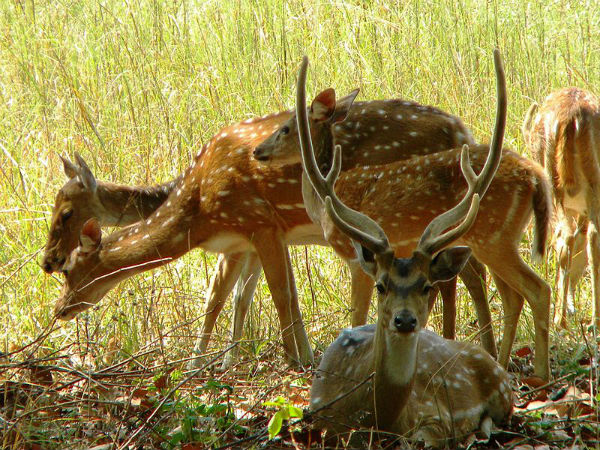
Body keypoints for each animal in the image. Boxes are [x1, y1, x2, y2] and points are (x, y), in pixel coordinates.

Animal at [255, 51, 552, 380]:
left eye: (285, 128)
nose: (258, 150)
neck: (323, 203)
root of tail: (536, 178)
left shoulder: (357, 258)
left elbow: (358, 317)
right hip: (497, 238)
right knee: (509, 293)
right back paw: (500, 361)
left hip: (493, 236)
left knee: (536, 289)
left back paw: (539, 373)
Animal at [290, 54, 510, 444]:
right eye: (382, 285)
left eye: (425, 285)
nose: (405, 320)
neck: (378, 417)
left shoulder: (434, 419)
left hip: (499, 384)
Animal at [520, 87, 600, 326]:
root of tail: (570, 119)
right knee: (588, 237)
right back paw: (590, 319)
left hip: (555, 187)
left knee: (564, 238)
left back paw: (559, 318)